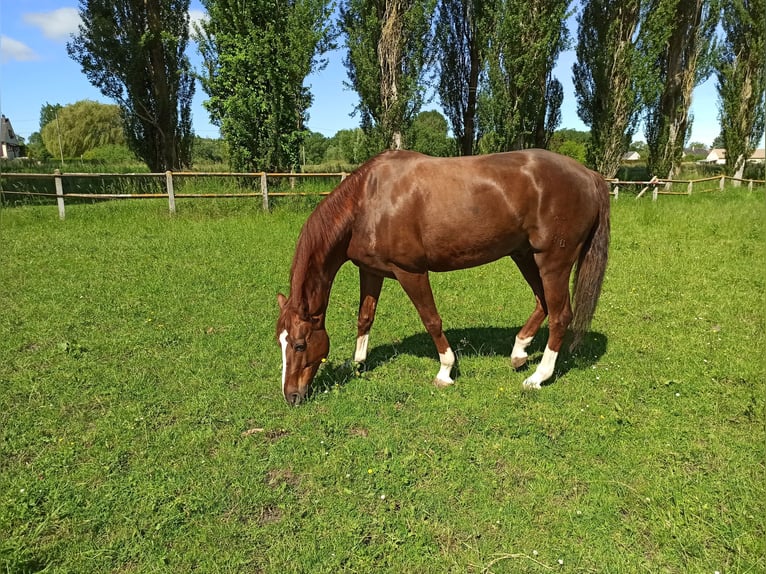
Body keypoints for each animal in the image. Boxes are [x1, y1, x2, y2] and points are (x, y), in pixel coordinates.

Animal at [276, 151, 612, 408]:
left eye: (299, 345)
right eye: (280, 341)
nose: (291, 396)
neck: (367, 201)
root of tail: (589, 175)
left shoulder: (410, 272)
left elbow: (431, 320)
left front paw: (445, 370)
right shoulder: (370, 271)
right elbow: (365, 317)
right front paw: (356, 362)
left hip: (552, 262)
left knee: (560, 315)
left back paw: (538, 377)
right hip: (525, 255)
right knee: (543, 302)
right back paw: (519, 354)